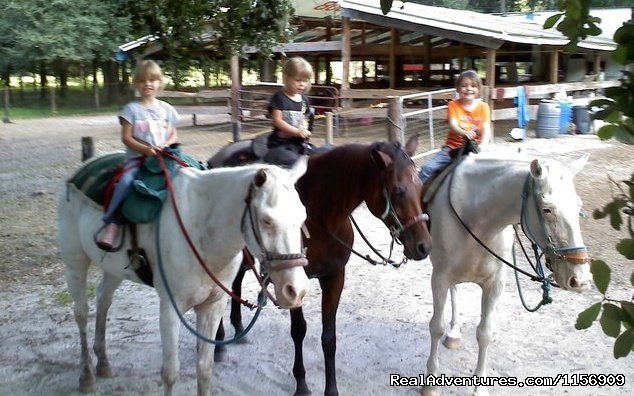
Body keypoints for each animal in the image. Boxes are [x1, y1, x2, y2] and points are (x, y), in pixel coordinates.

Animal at [58, 154, 310, 396]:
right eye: (267, 220)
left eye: (303, 217)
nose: (296, 290)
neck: (201, 229)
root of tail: (84, 166)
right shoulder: (170, 307)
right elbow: (170, 372)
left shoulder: (213, 306)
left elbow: (205, 368)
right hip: (75, 262)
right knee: (81, 313)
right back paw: (87, 376)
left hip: (113, 269)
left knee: (103, 300)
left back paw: (103, 363)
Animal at [207, 135, 430, 394]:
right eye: (398, 191)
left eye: (420, 186)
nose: (424, 246)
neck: (320, 215)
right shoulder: (292, 282)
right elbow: (299, 330)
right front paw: (301, 383)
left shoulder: (334, 277)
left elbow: (329, 337)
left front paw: (331, 388)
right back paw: (219, 343)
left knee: (237, 281)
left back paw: (239, 328)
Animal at [422, 152, 592, 396]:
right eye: (547, 209)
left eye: (578, 206)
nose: (580, 279)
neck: (477, 217)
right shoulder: (439, 279)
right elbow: (436, 327)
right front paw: (430, 383)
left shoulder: (495, 284)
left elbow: (484, 333)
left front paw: (479, 387)